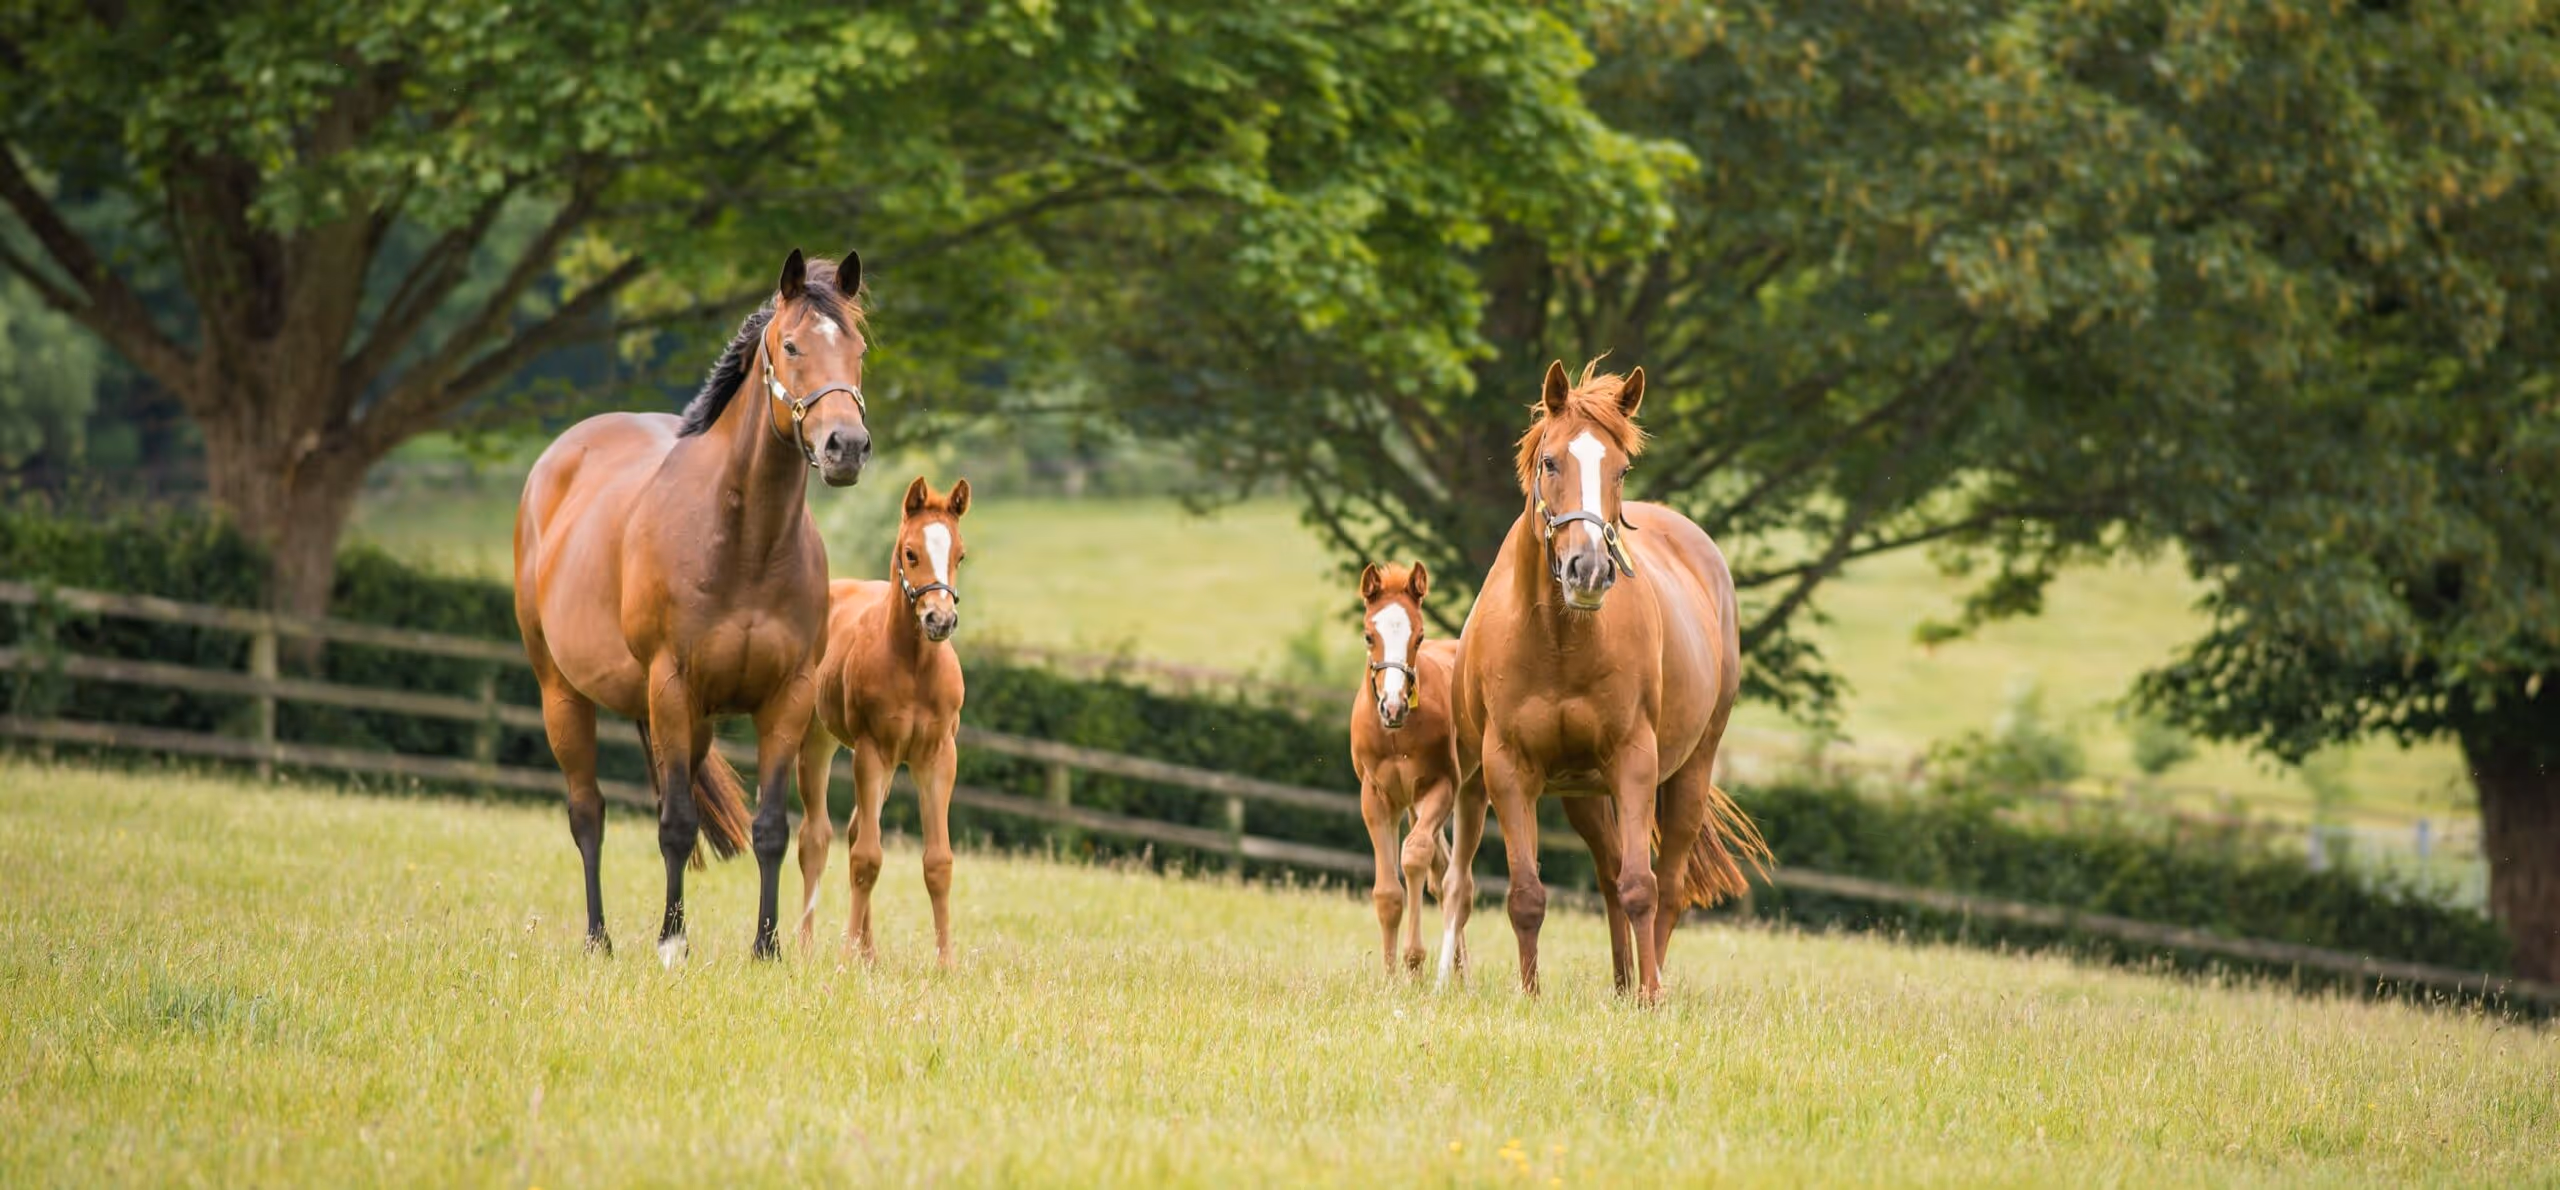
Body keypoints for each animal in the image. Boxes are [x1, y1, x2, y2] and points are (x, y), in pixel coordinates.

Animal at [514, 249, 873, 963]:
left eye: (859, 350)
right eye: (791, 346)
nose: (845, 447)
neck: (743, 544)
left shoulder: (786, 699)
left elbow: (770, 828)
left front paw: (766, 949)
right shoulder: (671, 687)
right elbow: (676, 824)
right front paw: (671, 944)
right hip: (562, 695)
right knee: (587, 813)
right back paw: (599, 940)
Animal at [795, 476, 972, 966]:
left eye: (959, 555)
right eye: (910, 553)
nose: (939, 619)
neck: (913, 667)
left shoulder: (937, 757)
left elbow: (938, 861)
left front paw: (946, 964)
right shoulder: (871, 750)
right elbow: (867, 859)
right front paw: (842, 961)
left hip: (889, 764)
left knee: (856, 829)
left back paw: (868, 953)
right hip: (816, 741)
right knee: (816, 836)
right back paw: (806, 946)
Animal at [1442, 359, 1770, 1002]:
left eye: (1620, 468)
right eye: (1550, 462)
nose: (1589, 569)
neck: (1558, 641)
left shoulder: (1634, 761)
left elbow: (1642, 886)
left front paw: (1651, 999)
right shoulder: (1508, 768)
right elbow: (1527, 895)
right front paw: (1530, 996)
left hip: (1688, 773)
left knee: (1664, 886)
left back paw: (1646, 983)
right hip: (1584, 795)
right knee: (1609, 869)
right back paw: (1621, 984)